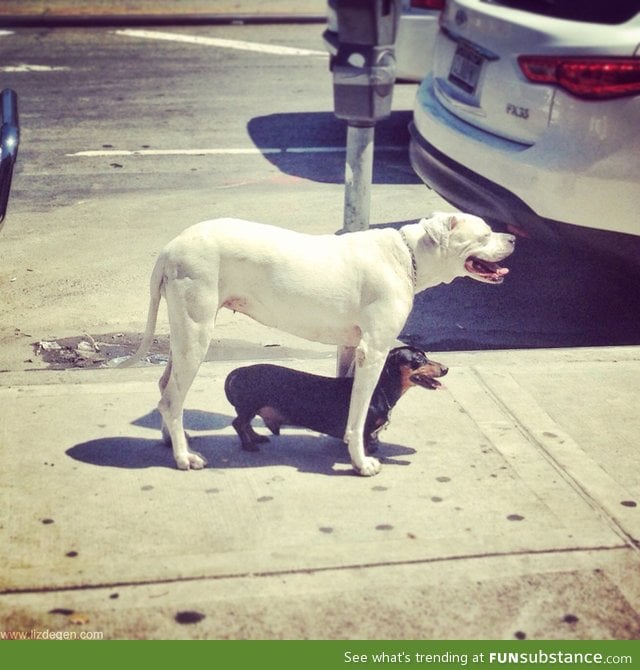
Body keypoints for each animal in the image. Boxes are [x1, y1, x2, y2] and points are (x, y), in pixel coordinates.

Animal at [122, 213, 516, 476]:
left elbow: (349, 395)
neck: (408, 255)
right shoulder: (374, 351)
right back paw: (183, 457)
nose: (514, 238)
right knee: (171, 397)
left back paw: (172, 439)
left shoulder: (353, 347)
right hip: (196, 331)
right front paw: (361, 461)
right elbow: (359, 411)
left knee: (166, 387)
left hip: (183, 334)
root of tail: (171, 247)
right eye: (484, 234)